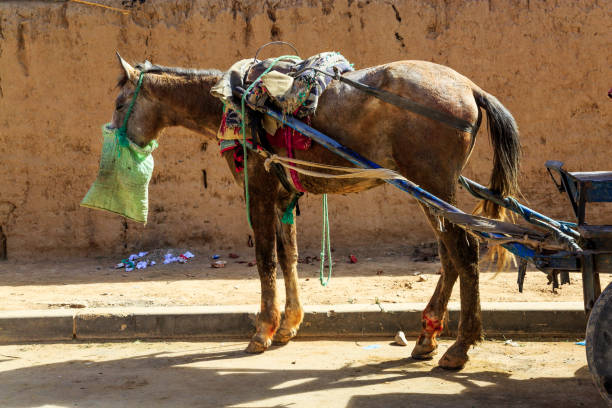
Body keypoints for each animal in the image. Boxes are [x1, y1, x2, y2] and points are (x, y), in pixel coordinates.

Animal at [111, 51, 520, 370]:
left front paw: (263, 330)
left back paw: (460, 347)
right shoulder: (284, 195)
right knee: (449, 256)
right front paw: (289, 325)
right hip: (428, 191)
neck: (232, 98)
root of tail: (470, 88)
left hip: (431, 184)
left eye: (118, 104)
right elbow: (288, 256)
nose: (117, 137)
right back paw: (427, 338)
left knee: (464, 251)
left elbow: (265, 259)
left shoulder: (258, 191)